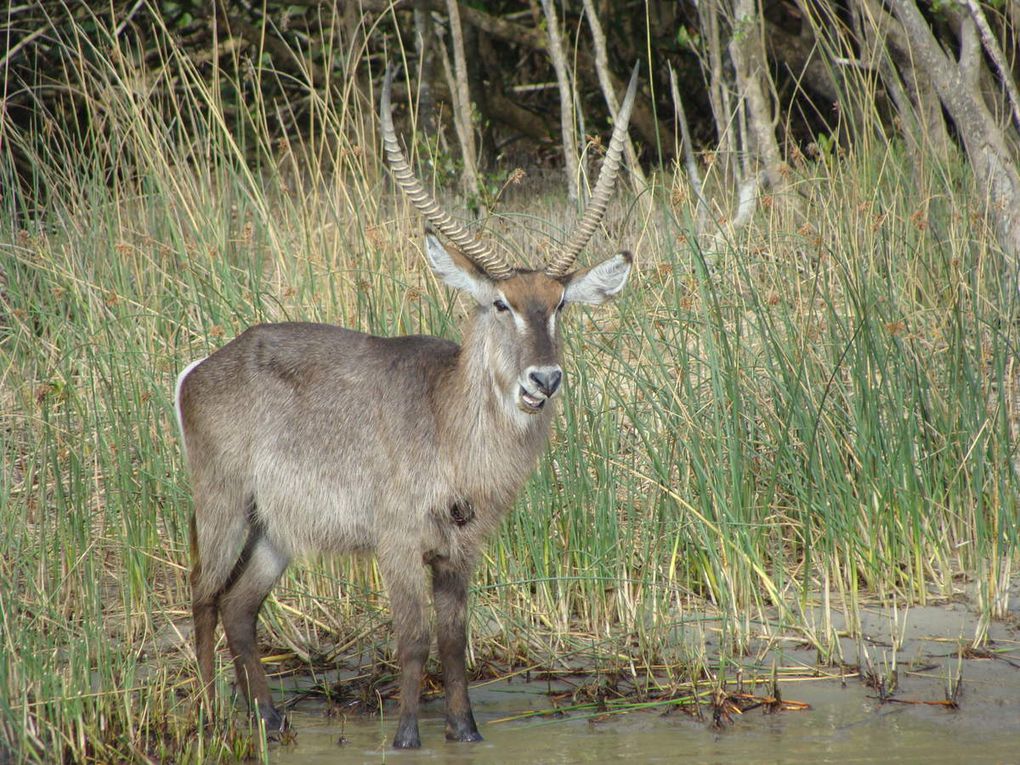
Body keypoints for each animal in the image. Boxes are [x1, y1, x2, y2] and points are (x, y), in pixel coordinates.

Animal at [176, 64, 636, 750]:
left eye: (559, 304)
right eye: (500, 303)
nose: (545, 379)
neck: (448, 422)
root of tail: (202, 367)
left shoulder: (460, 549)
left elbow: (453, 642)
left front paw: (466, 732)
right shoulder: (395, 542)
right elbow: (414, 640)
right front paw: (405, 738)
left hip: (276, 529)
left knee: (239, 606)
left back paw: (271, 720)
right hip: (224, 504)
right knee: (204, 598)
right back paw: (211, 715)